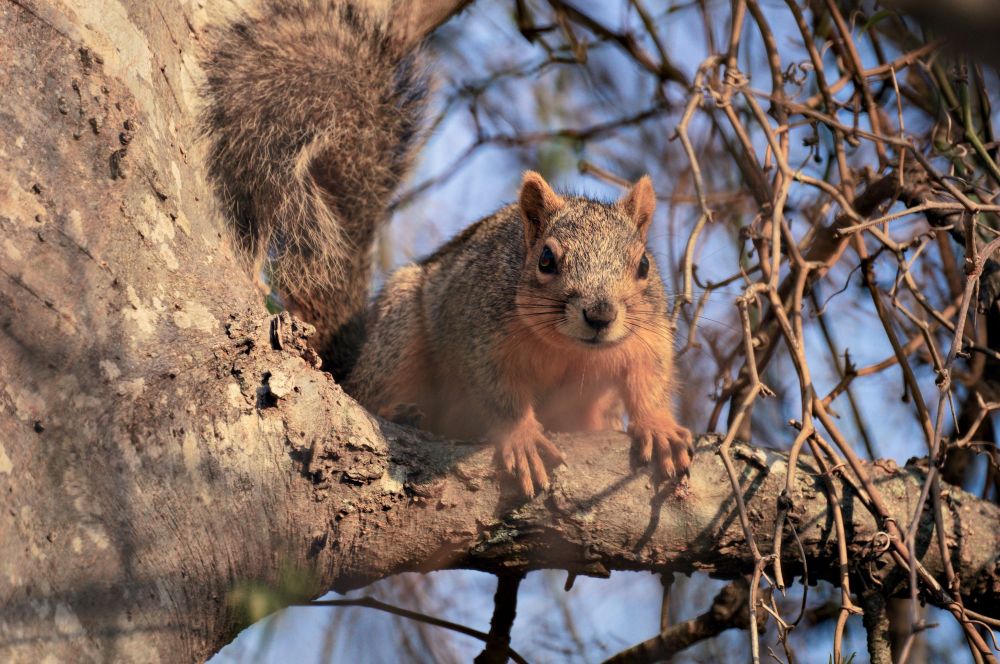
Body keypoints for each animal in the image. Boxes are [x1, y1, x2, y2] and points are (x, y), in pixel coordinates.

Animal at [202, 0, 693, 497]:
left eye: (644, 265)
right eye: (546, 259)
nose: (600, 315)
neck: (572, 351)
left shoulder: (647, 335)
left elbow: (650, 380)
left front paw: (658, 426)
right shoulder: (478, 335)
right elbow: (499, 394)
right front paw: (521, 437)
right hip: (399, 335)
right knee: (374, 390)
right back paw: (401, 412)